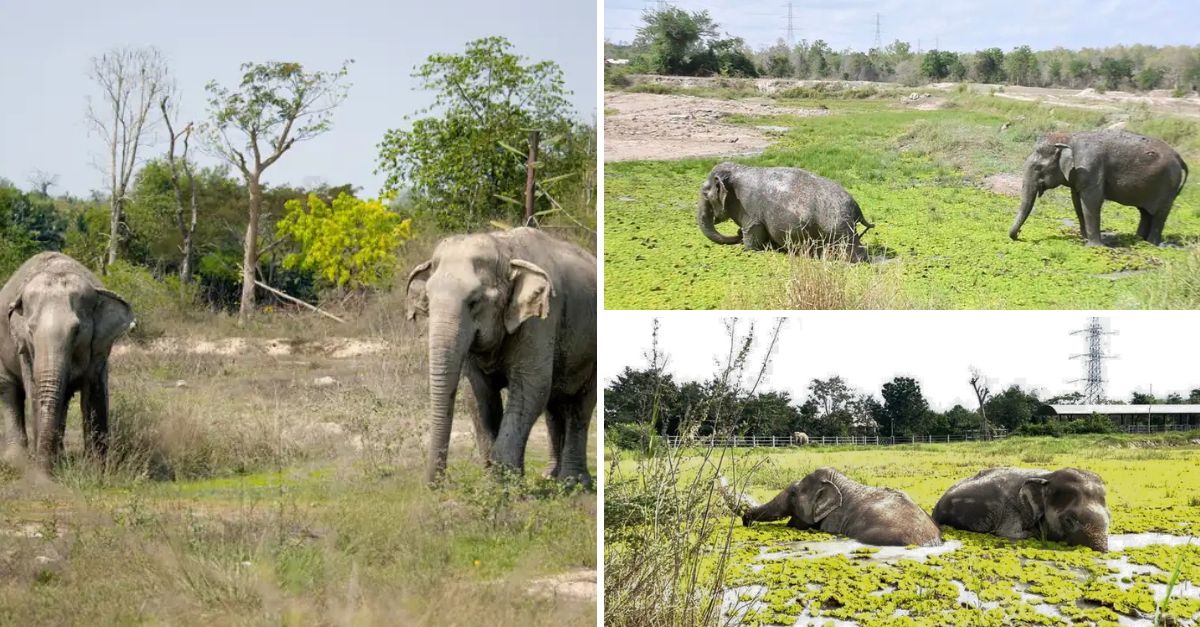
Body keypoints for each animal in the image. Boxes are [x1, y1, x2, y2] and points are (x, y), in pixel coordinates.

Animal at [0, 252, 134, 474]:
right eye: (30, 330)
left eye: (77, 331)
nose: (44, 470)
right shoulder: (24, 348)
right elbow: (34, 391)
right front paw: (44, 471)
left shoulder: (99, 346)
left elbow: (94, 392)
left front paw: (96, 471)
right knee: (8, 390)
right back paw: (16, 461)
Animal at [406, 227, 596, 486]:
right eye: (427, 300)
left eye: (474, 302)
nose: (436, 485)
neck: (505, 249)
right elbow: (477, 395)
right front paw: (496, 479)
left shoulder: (541, 321)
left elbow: (531, 389)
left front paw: (503, 483)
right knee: (554, 407)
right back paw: (549, 477)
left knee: (580, 406)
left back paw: (572, 482)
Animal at [696, 162, 874, 261]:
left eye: (705, 194)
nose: (737, 233)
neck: (737, 170)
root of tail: (856, 207)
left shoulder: (749, 210)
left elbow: (752, 232)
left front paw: (747, 248)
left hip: (840, 227)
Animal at [932, 467, 1109, 552]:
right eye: (1069, 520)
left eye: (1110, 516)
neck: (1047, 477)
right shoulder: (1011, 508)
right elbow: (1008, 533)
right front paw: (1035, 533)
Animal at [1009, 130, 1189, 246]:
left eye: (1038, 168)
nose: (1019, 235)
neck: (1069, 138)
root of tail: (1179, 157)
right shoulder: (1078, 175)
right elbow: (1077, 202)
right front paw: (1084, 238)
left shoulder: (1091, 169)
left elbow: (1091, 202)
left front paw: (1094, 245)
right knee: (1145, 212)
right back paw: (1138, 239)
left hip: (1168, 187)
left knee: (1159, 214)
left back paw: (1151, 243)